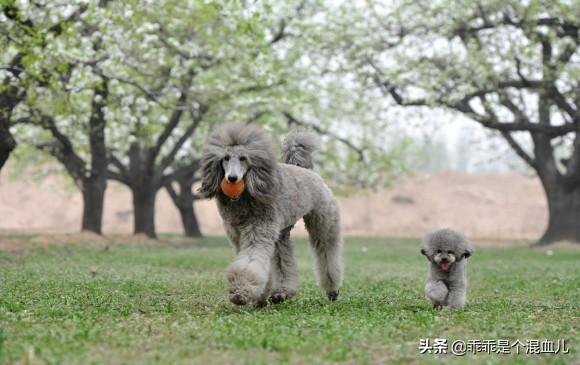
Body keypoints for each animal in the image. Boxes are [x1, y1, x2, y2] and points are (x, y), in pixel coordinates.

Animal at [201, 123, 344, 306]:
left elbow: (250, 261)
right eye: (225, 158)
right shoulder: (237, 234)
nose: (232, 178)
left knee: (326, 249)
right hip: (281, 233)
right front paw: (259, 298)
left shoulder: (258, 230)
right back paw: (281, 293)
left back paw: (332, 290)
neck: (246, 195)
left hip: (323, 221)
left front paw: (241, 292)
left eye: (243, 158)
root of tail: (309, 171)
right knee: (284, 258)